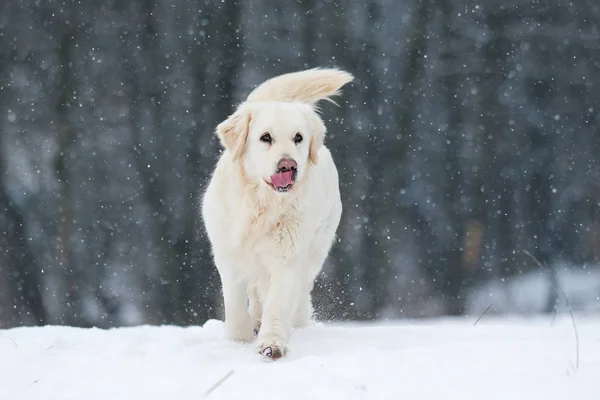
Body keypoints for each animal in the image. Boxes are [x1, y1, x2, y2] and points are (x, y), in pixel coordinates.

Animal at [200, 67, 352, 360]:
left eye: (298, 138)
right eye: (265, 137)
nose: (288, 165)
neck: (262, 205)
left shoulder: (286, 257)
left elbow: (279, 303)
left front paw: (272, 343)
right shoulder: (229, 259)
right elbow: (236, 310)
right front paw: (239, 340)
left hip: (315, 251)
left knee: (299, 292)